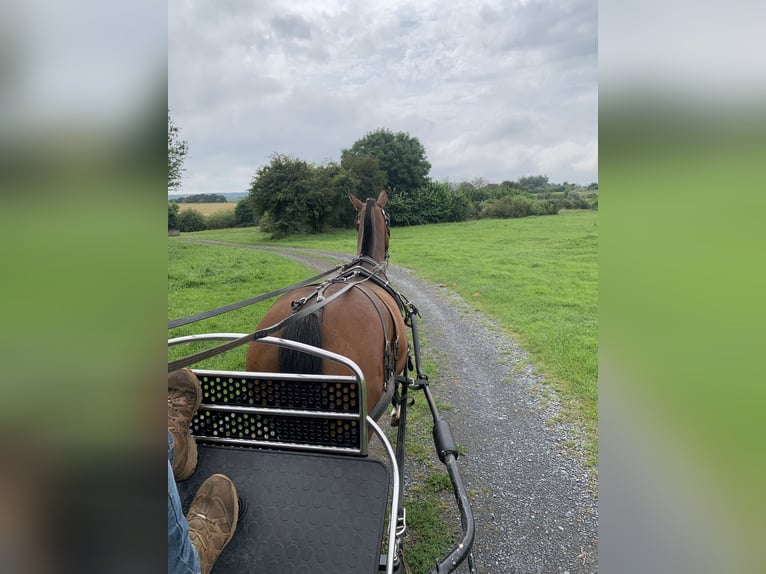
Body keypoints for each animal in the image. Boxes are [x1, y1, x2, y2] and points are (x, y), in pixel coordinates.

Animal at [249, 192, 412, 424]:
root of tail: (312, 312)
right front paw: (397, 414)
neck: (367, 268)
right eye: (388, 220)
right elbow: (399, 388)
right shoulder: (400, 362)